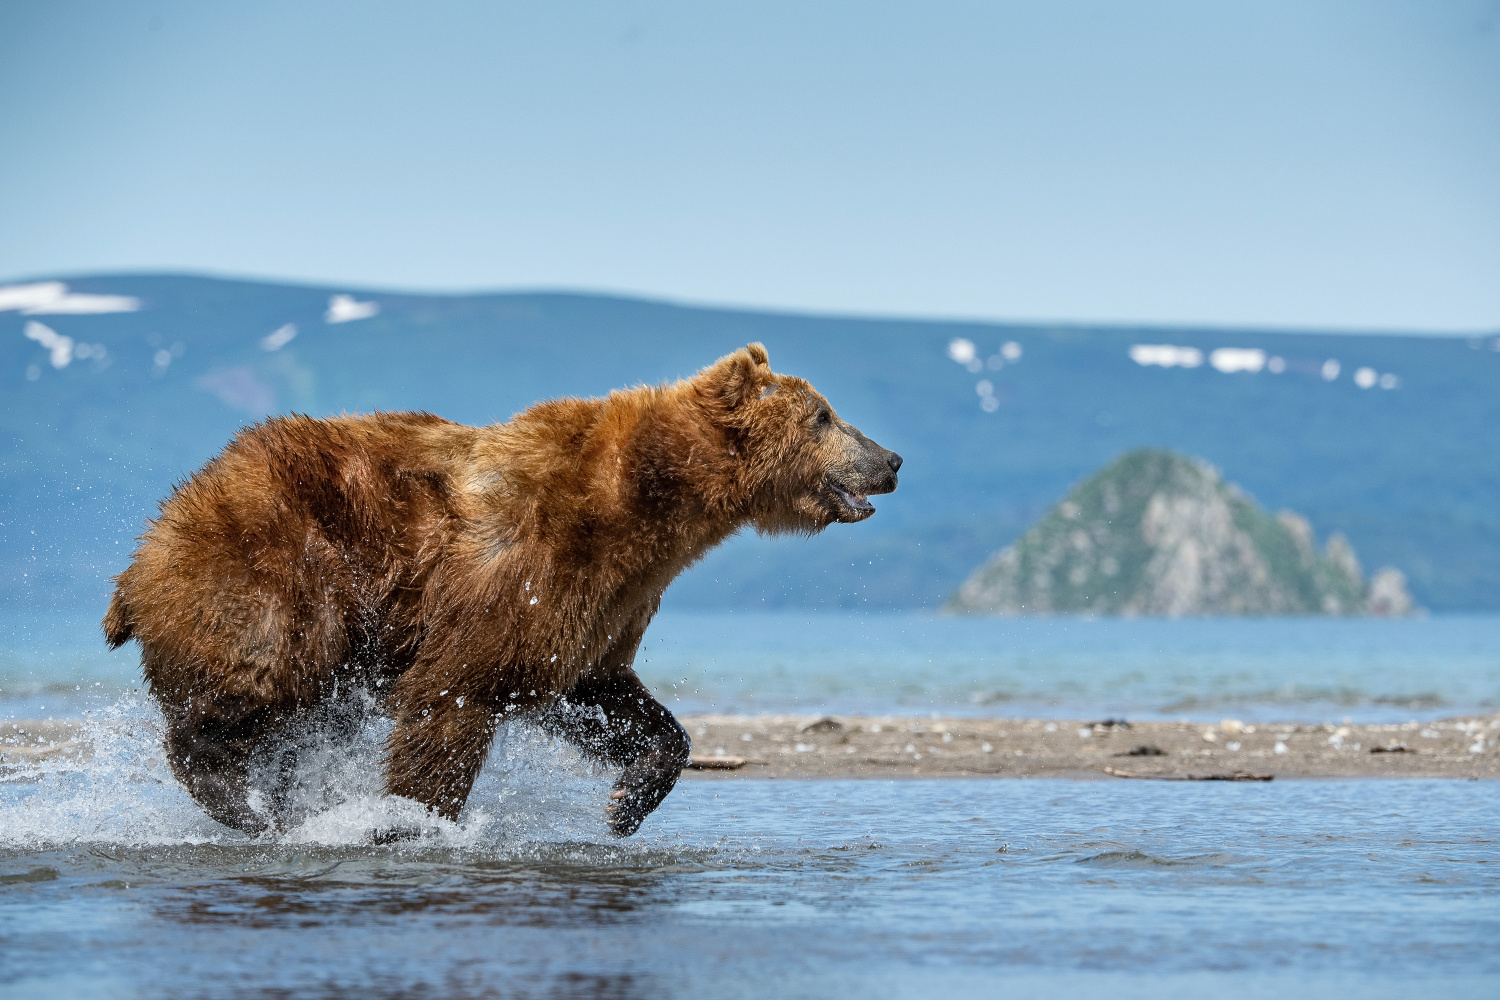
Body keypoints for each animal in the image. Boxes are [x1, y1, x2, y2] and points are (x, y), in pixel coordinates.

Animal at [108, 344, 900, 839]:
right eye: (825, 416)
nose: (890, 458)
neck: (650, 501)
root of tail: (146, 548)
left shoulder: (600, 604)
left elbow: (593, 691)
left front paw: (626, 801)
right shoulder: (526, 564)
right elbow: (455, 693)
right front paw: (412, 819)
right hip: (275, 571)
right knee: (254, 683)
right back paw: (240, 800)